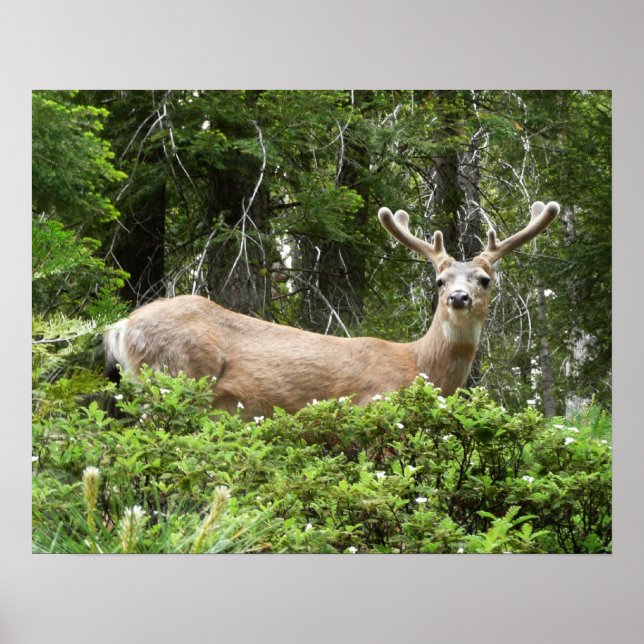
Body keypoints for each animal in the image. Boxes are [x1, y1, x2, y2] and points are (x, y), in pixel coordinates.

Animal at [104, 200, 559, 419]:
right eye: (439, 280)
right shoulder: (373, 406)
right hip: (172, 375)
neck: (418, 366)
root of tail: (121, 326)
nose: (458, 298)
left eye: (484, 279)